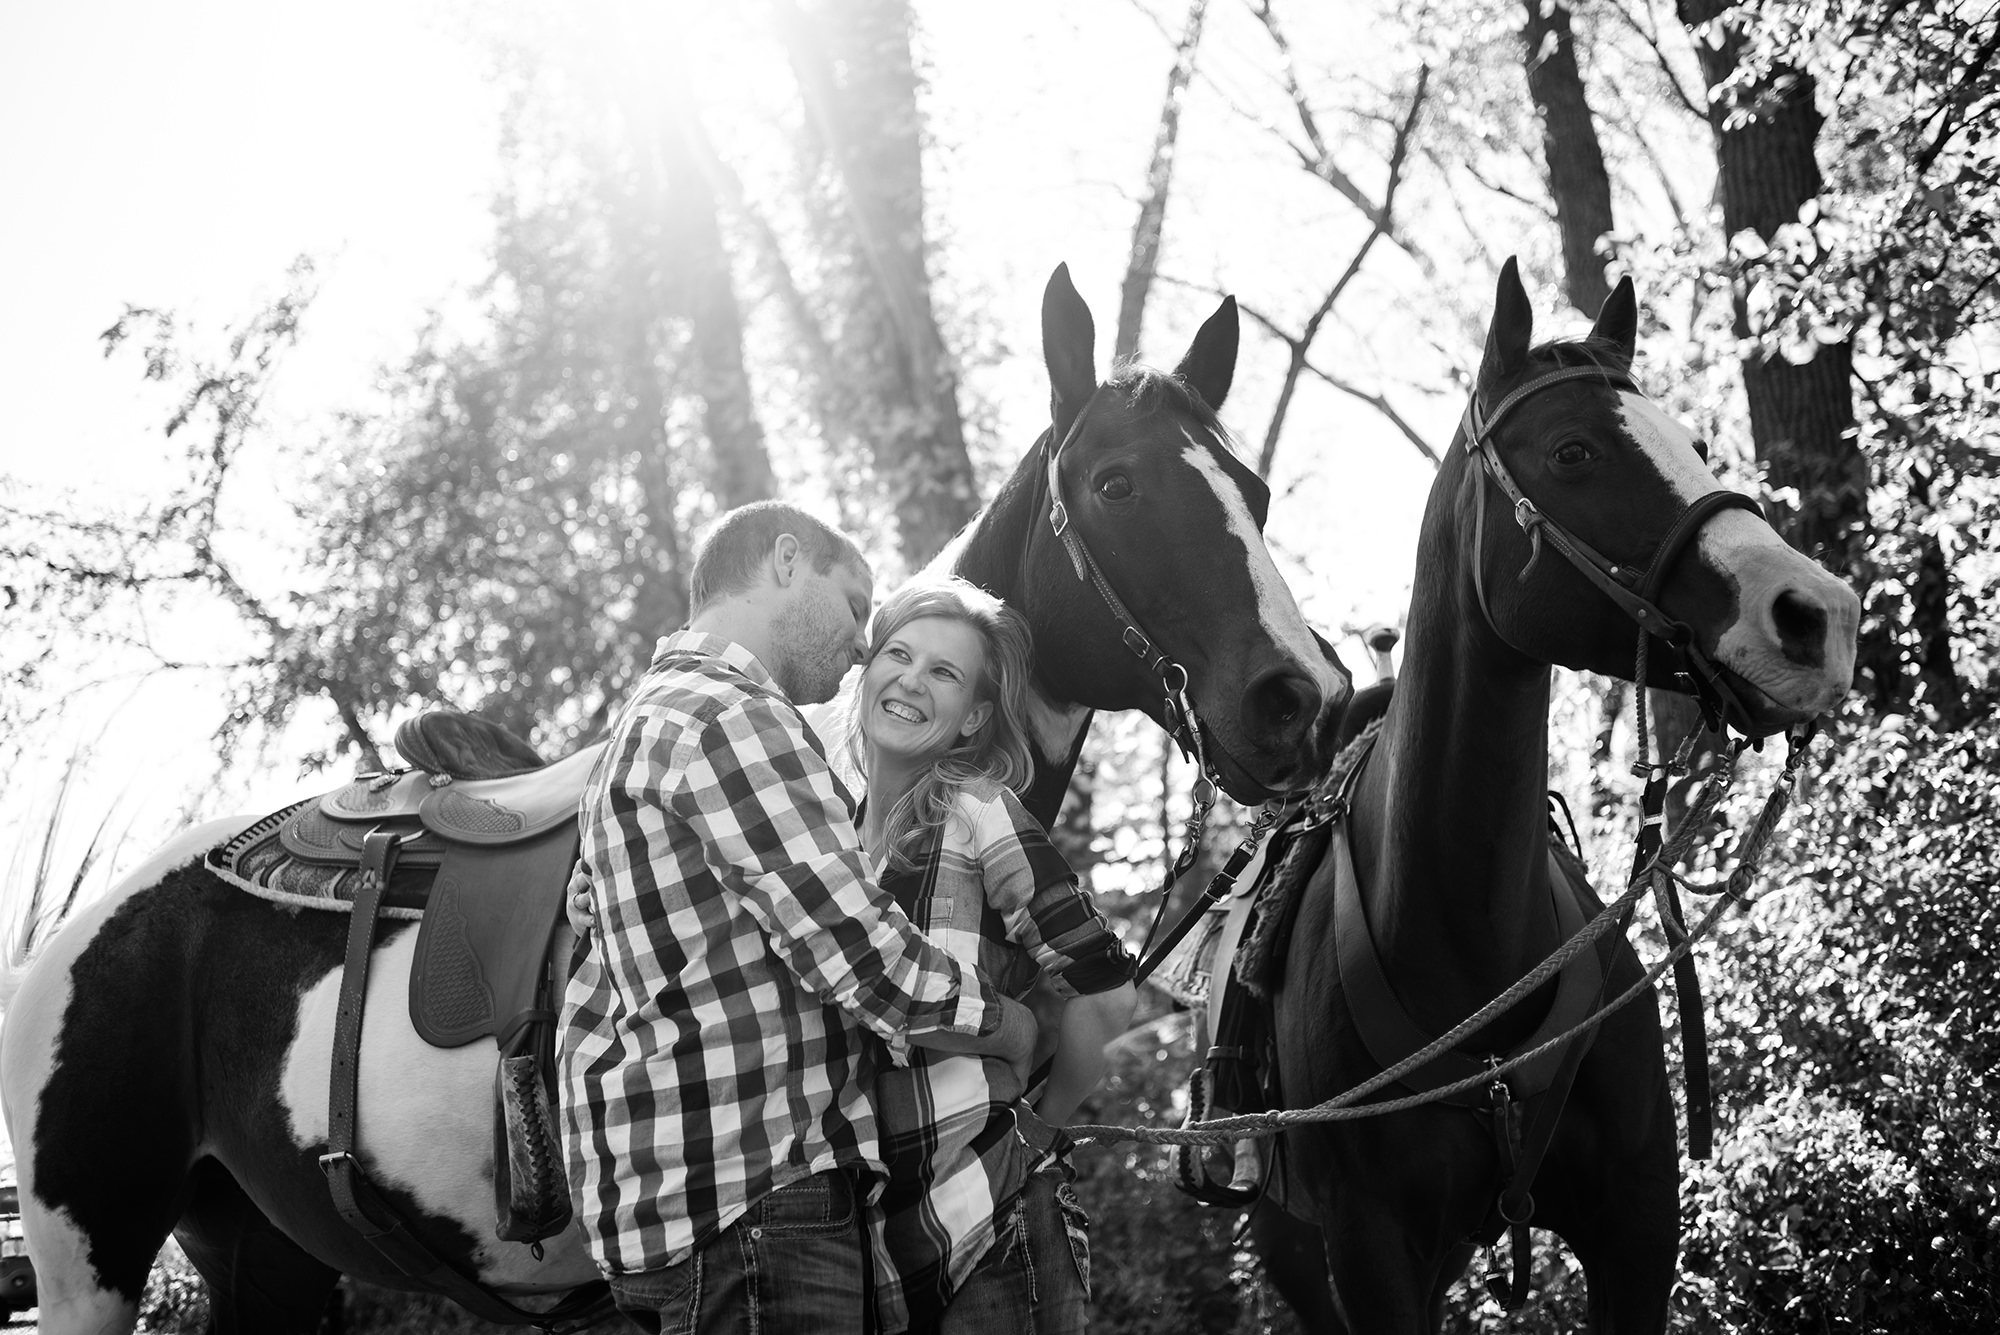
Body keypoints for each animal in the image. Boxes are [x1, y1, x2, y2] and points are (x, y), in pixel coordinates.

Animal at [0, 263, 1352, 1335]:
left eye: (1254, 492)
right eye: (1117, 484)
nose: (1305, 699)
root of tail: (79, 933)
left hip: (263, 1253)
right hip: (86, 1261)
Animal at [1256, 263, 1864, 1335]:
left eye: (1697, 446)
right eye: (1573, 451)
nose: (1817, 616)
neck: (1470, 945)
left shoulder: (1639, 1221)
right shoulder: (1366, 1255)